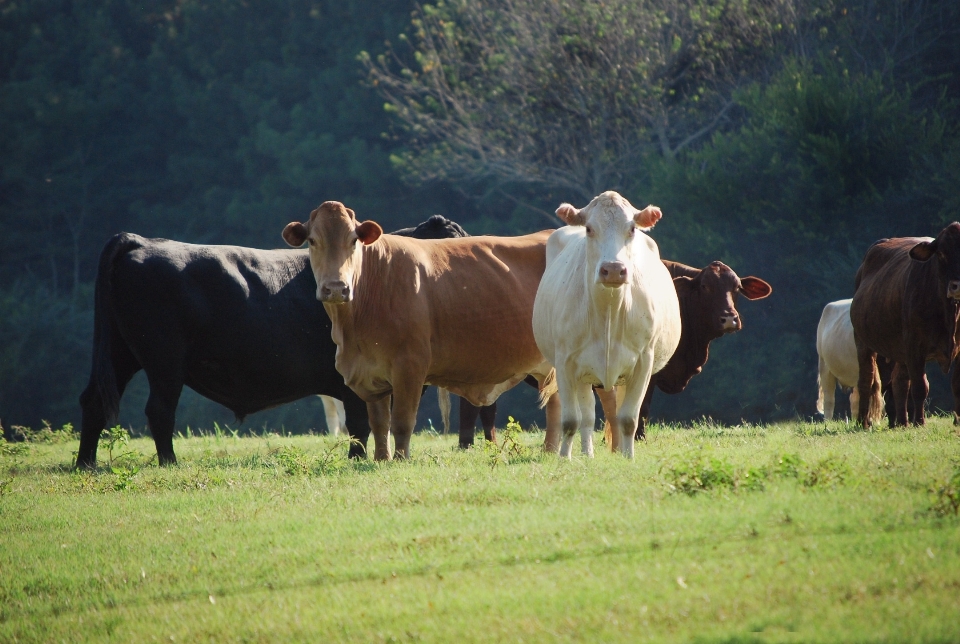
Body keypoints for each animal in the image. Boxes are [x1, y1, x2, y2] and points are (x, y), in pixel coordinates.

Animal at [77, 216, 466, 468]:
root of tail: (141, 240)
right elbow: (360, 423)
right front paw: (356, 461)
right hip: (164, 360)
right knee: (159, 410)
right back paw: (169, 462)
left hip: (122, 353)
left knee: (94, 401)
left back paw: (86, 464)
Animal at [282, 201, 552, 458]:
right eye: (312, 241)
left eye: (353, 240)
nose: (337, 288)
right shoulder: (370, 371)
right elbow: (379, 423)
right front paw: (381, 458)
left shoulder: (410, 366)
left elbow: (401, 421)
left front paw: (401, 458)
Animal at [532, 191, 684, 458]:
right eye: (589, 228)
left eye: (631, 228)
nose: (613, 269)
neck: (609, 313)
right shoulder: (565, 362)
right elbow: (571, 420)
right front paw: (564, 458)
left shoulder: (643, 362)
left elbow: (629, 418)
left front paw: (628, 458)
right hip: (582, 374)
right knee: (587, 416)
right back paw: (587, 454)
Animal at [852, 224, 960, 430]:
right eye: (941, 254)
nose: (956, 286)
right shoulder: (914, 346)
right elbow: (920, 386)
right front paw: (920, 421)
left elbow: (955, 384)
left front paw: (958, 421)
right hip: (863, 343)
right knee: (866, 381)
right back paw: (864, 422)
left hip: (898, 350)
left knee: (899, 382)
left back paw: (901, 422)